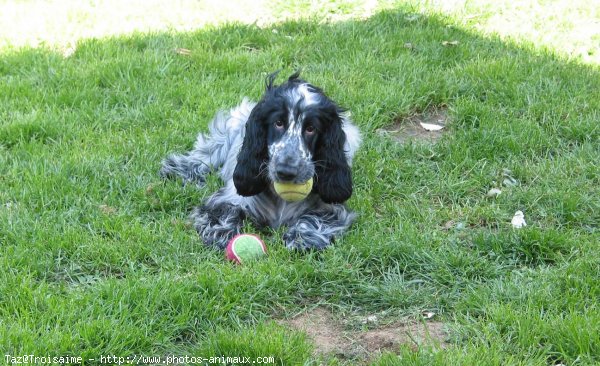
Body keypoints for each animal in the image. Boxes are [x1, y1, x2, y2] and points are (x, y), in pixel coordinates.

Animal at [159, 72, 364, 249]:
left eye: (311, 128)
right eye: (278, 123)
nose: (286, 171)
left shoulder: (331, 209)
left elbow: (315, 218)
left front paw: (301, 238)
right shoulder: (229, 197)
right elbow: (226, 211)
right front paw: (222, 233)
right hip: (228, 132)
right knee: (205, 155)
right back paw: (177, 170)